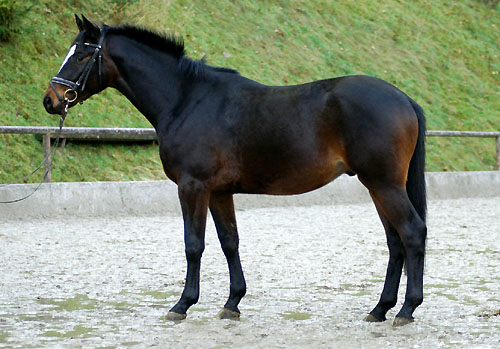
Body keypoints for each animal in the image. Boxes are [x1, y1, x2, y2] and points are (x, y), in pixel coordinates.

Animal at [44, 15, 426, 326]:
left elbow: (193, 244)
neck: (187, 100)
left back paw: (406, 309)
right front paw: (232, 303)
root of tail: (403, 98)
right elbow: (230, 242)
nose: (51, 99)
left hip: (384, 184)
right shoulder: (219, 191)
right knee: (395, 241)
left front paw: (182, 305)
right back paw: (380, 309)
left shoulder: (193, 187)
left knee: (412, 232)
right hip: (379, 186)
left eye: (81, 55)